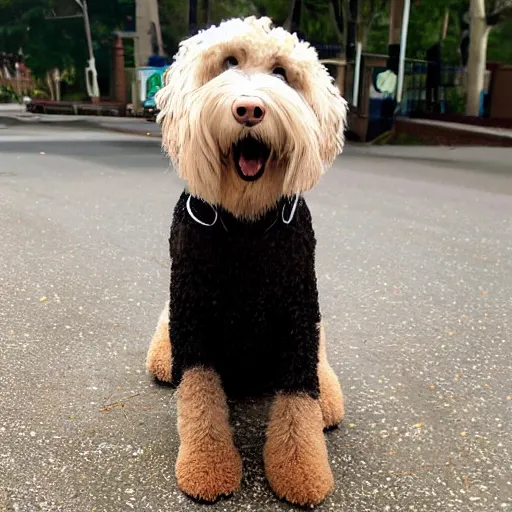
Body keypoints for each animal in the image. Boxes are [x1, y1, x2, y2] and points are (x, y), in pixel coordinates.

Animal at [146, 17, 350, 508]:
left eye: (282, 73)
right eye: (227, 62)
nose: (249, 109)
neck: (245, 225)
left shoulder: (299, 314)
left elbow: (299, 400)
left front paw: (302, 471)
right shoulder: (192, 314)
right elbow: (199, 396)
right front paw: (206, 465)